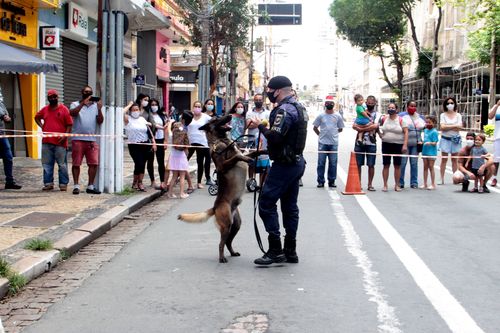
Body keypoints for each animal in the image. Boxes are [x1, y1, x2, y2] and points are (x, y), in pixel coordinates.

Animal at [179, 114, 258, 262]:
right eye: (216, 119)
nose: (230, 115)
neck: (223, 141)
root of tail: (215, 207)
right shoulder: (222, 166)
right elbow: (238, 156)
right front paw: (246, 159)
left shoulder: (245, 153)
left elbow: (253, 152)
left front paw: (265, 150)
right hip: (226, 224)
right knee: (221, 243)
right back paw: (222, 258)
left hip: (235, 225)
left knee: (228, 242)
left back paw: (232, 253)